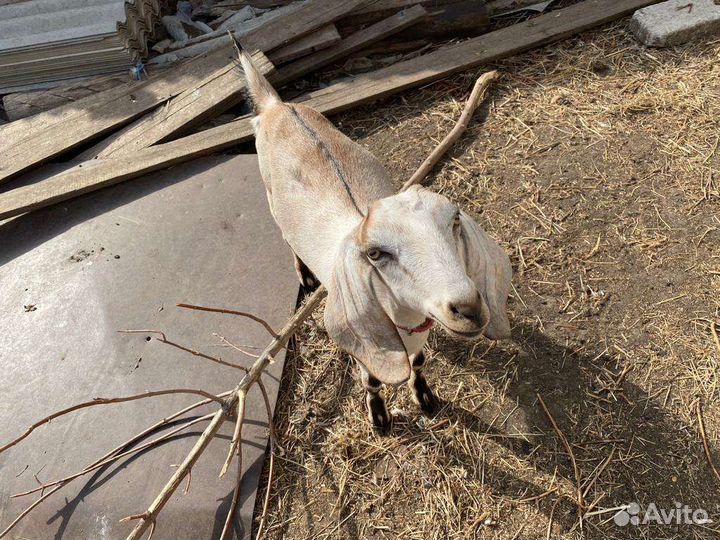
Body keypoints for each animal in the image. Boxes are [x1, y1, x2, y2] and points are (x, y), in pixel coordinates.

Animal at [239, 51, 513, 433]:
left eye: (455, 220)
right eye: (375, 253)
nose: (468, 308)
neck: (406, 323)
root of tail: (275, 106)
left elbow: (419, 362)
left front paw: (425, 398)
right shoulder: (367, 347)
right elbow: (372, 381)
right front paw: (379, 417)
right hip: (269, 195)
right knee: (284, 236)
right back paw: (304, 274)